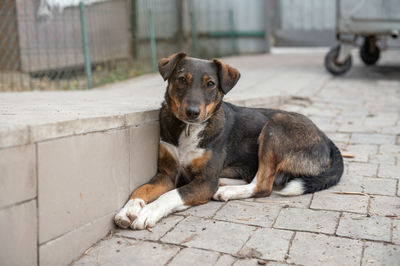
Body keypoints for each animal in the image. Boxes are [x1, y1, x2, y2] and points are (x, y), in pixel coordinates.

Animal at [113, 53, 344, 230]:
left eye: (210, 84)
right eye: (181, 79)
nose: (192, 112)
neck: (188, 130)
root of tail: (327, 138)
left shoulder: (205, 181)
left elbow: (172, 195)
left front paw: (147, 212)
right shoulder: (167, 174)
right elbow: (141, 189)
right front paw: (129, 209)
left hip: (275, 126)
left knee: (263, 185)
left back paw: (227, 191)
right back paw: (224, 185)